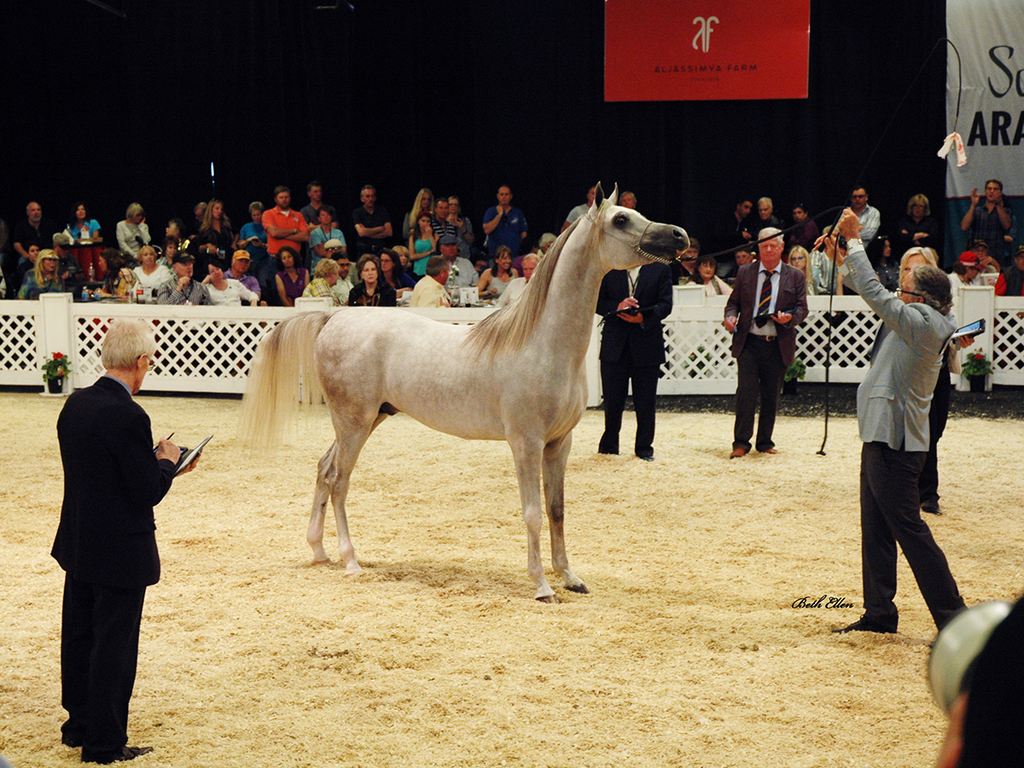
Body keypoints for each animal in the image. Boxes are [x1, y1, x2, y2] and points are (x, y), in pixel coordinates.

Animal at [240, 184, 687, 602]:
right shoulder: (525, 443)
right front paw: (542, 586)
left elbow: (557, 510)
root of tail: (332, 317)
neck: (541, 341)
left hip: (366, 420)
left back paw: (319, 551)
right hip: (353, 423)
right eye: (621, 220)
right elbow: (532, 512)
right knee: (338, 481)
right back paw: (350, 560)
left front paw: (570, 578)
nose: (679, 235)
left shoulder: (560, 443)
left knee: (322, 468)